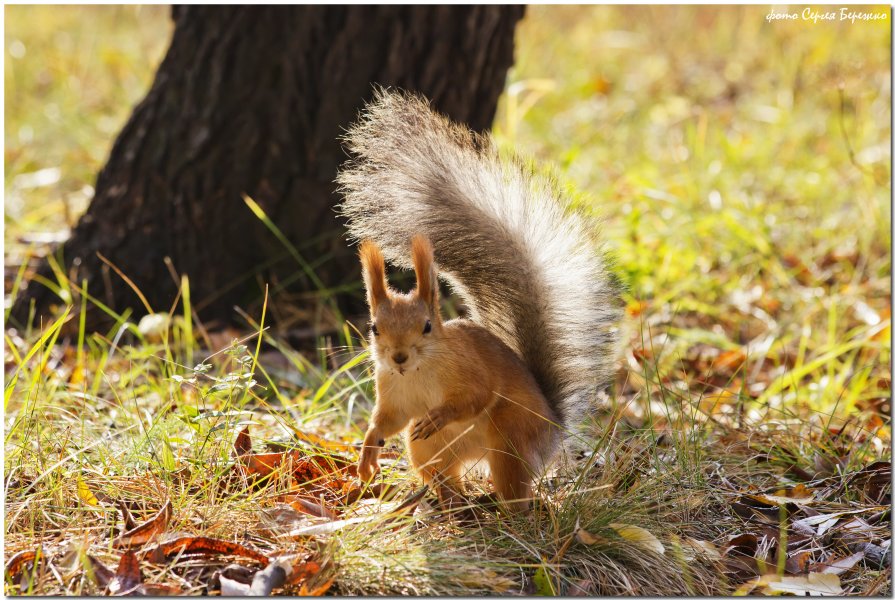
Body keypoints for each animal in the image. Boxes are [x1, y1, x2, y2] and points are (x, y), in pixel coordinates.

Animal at [336, 89, 624, 510]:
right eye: (374, 328)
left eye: (427, 326)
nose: (399, 357)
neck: (419, 372)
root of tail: (552, 428)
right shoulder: (392, 392)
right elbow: (386, 420)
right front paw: (368, 452)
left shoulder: (470, 370)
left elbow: (475, 396)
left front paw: (441, 414)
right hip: (429, 450)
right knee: (443, 472)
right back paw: (451, 500)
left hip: (510, 439)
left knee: (514, 487)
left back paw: (512, 511)